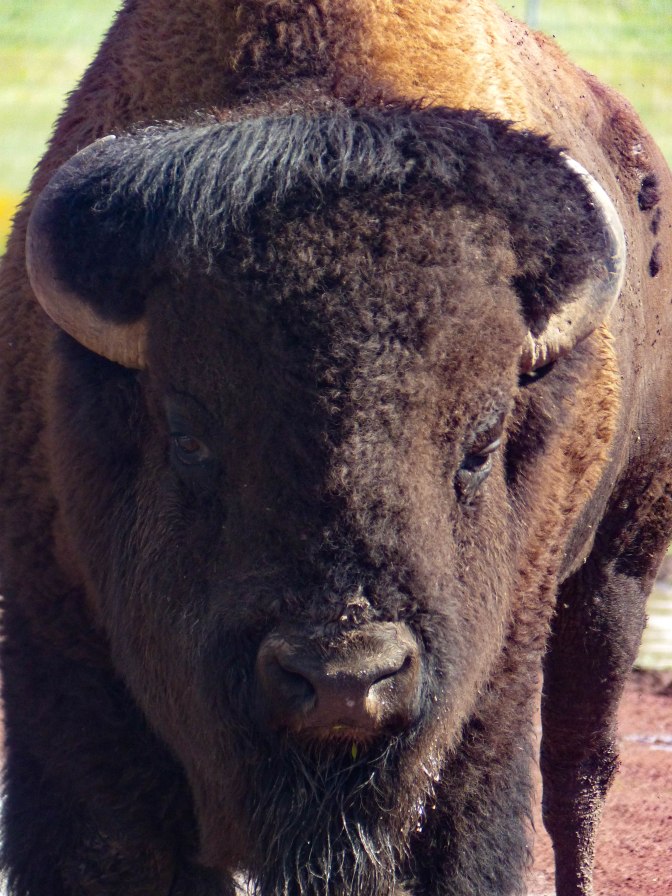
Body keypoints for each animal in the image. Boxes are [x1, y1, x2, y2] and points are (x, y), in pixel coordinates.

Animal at [0, 2, 671, 896]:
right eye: (187, 435)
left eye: (483, 441)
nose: (345, 681)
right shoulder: (64, 640)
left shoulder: (491, 688)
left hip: (620, 565)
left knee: (579, 768)